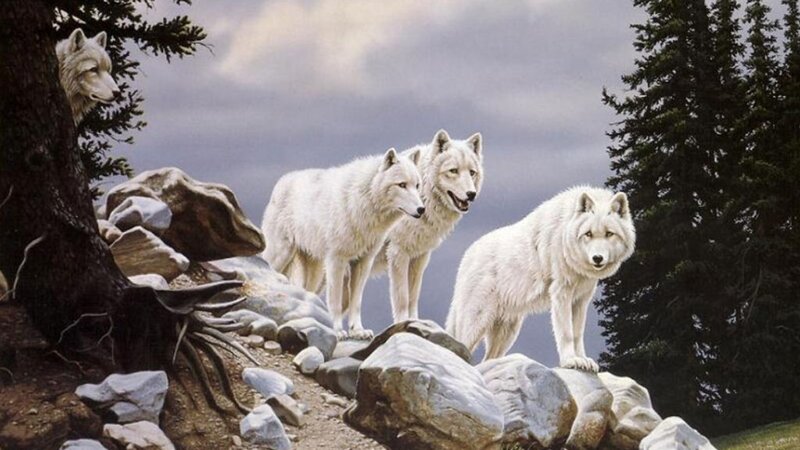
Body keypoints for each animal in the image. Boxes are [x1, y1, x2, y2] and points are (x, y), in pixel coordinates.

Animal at [262, 148, 424, 340]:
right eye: (402, 185)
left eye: (417, 185)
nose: (422, 209)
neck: (362, 201)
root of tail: (281, 181)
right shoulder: (336, 260)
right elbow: (335, 300)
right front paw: (337, 331)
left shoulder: (363, 262)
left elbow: (356, 301)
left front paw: (358, 330)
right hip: (281, 255)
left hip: (315, 269)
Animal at [370, 130, 484, 323]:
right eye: (453, 171)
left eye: (472, 173)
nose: (471, 194)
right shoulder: (398, 253)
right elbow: (402, 298)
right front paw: (403, 323)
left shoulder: (420, 256)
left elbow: (413, 296)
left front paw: (415, 322)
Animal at [445, 186, 635, 371]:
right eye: (588, 234)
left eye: (609, 234)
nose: (597, 258)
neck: (564, 233)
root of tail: (466, 256)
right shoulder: (561, 293)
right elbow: (566, 333)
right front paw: (570, 361)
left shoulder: (581, 299)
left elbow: (577, 333)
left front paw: (583, 360)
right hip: (477, 322)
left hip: (508, 330)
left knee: (488, 359)